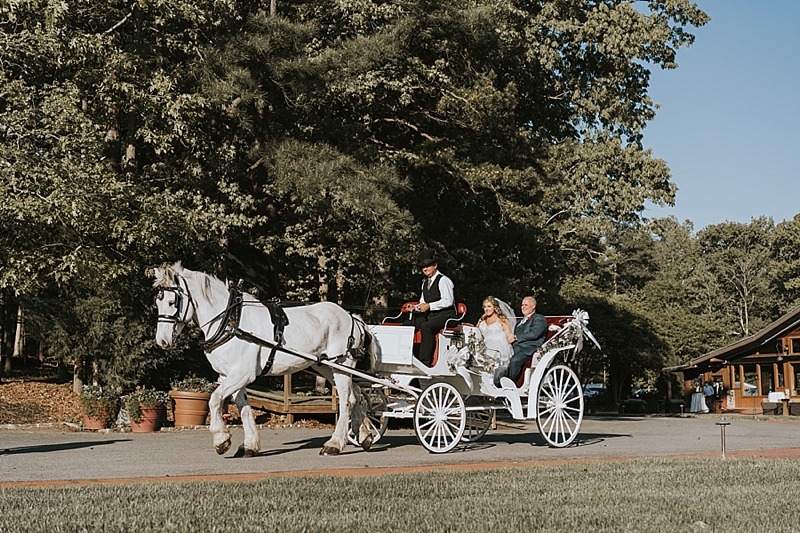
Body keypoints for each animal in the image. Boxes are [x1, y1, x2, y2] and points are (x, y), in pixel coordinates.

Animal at [154, 260, 378, 456]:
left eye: (173, 301)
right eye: (157, 301)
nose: (162, 340)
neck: (231, 321)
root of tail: (351, 317)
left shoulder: (242, 374)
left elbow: (215, 399)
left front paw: (221, 439)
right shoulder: (228, 376)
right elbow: (244, 408)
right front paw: (249, 445)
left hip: (341, 364)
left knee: (346, 400)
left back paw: (334, 444)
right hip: (325, 366)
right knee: (356, 394)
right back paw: (364, 434)